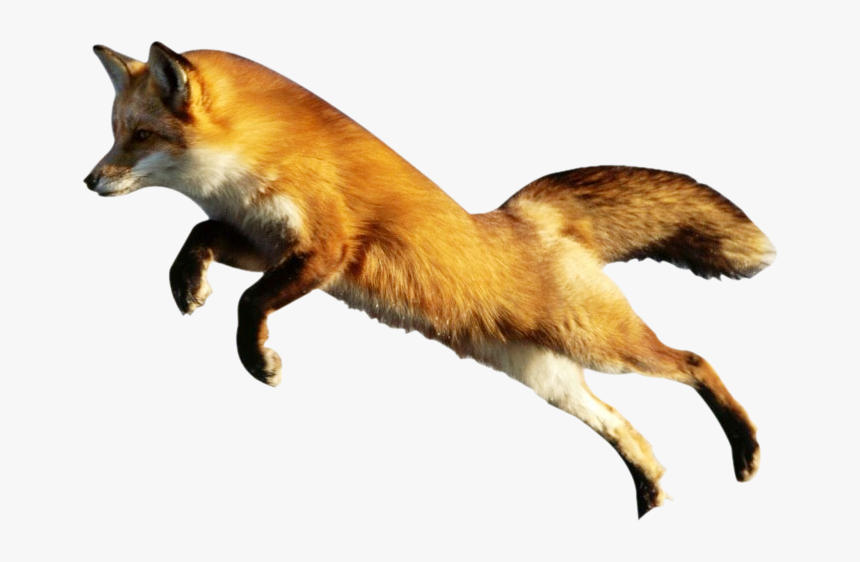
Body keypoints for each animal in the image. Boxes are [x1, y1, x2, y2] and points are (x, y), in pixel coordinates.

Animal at [85, 42, 776, 518]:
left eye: (141, 136)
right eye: (116, 133)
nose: (89, 181)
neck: (254, 163)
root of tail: (526, 216)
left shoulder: (326, 250)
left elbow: (250, 305)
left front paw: (259, 362)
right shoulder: (262, 243)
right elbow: (196, 238)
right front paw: (187, 285)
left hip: (606, 346)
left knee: (695, 361)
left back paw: (745, 449)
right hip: (551, 379)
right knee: (627, 430)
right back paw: (650, 497)